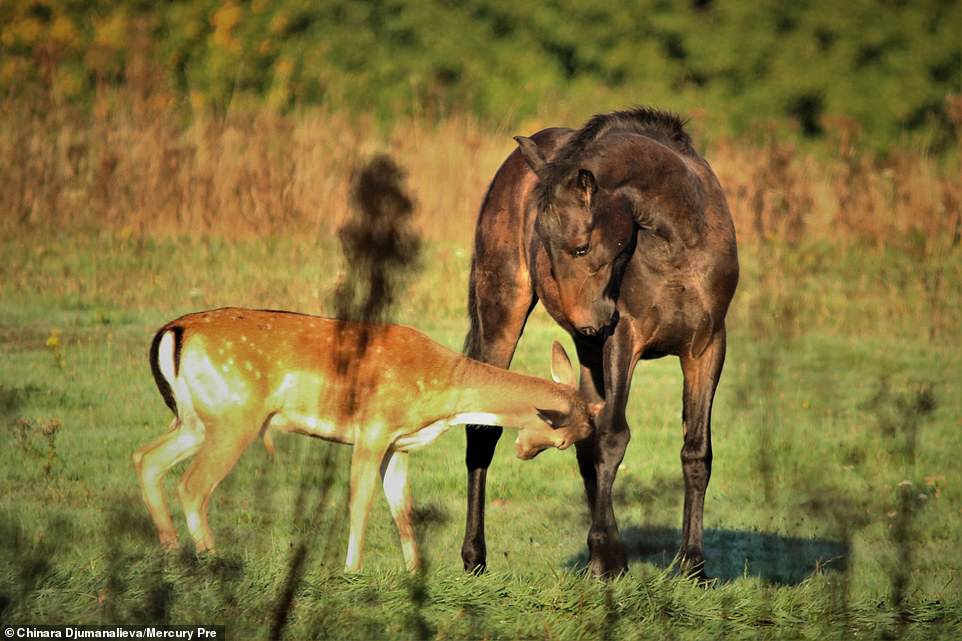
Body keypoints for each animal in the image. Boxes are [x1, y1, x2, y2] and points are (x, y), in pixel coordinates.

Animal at [131, 308, 596, 572]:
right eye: (563, 442)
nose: (522, 451)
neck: (444, 394)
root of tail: (172, 332)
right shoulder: (374, 427)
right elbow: (360, 500)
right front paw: (352, 570)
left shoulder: (400, 444)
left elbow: (401, 507)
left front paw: (414, 574)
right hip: (234, 415)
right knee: (192, 485)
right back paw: (211, 560)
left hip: (195, 419)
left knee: (145, 458)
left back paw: (172, 553)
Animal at [462, 106, 740, 576]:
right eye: (544, 245)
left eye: (580, 246)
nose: (592, 322)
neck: (679, 245)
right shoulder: (624, 341)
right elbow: (613, 437)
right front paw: (607, 555)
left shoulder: (706, 348)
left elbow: (696, 452)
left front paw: (693, 565)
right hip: (507, 317)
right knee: (483, 430)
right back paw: (475, 557)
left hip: (589, 352)